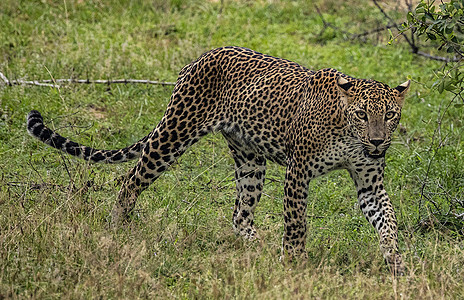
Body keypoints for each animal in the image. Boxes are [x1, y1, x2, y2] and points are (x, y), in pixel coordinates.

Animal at [26, 46, 410, 274]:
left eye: (390, 115)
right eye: (362, 114)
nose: (378, 140)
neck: (349, 136)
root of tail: (200, 57)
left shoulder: (369, 182)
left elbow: (388, 221)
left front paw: (396, 263)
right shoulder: (297, 173)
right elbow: (297, 223)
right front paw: (294, 262)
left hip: (251, 159)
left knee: (239, 213)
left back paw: (257, 248)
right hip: (174, 134)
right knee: (131, 179)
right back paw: (118, 226)